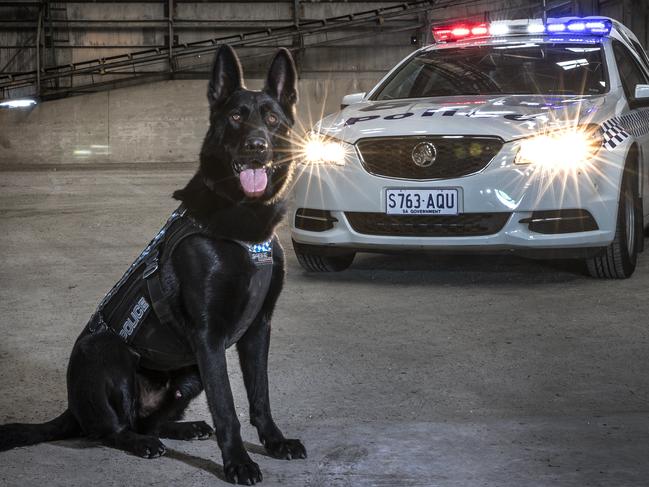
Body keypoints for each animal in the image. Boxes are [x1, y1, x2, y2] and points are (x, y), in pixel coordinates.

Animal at [0, 44, 306, 484]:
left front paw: (274, 442)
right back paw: (139, 443)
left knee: (150, 421)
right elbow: (227, 406)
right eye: (235, 117)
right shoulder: (208, 337)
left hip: (188, 374)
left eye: (272, 120)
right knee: (111, 429)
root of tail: (72, 408)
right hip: (106, 352)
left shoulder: (258, 328)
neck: (243, 228)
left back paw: (184, 427)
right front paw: (237, 462)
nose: (256, 147)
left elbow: (259, 395)